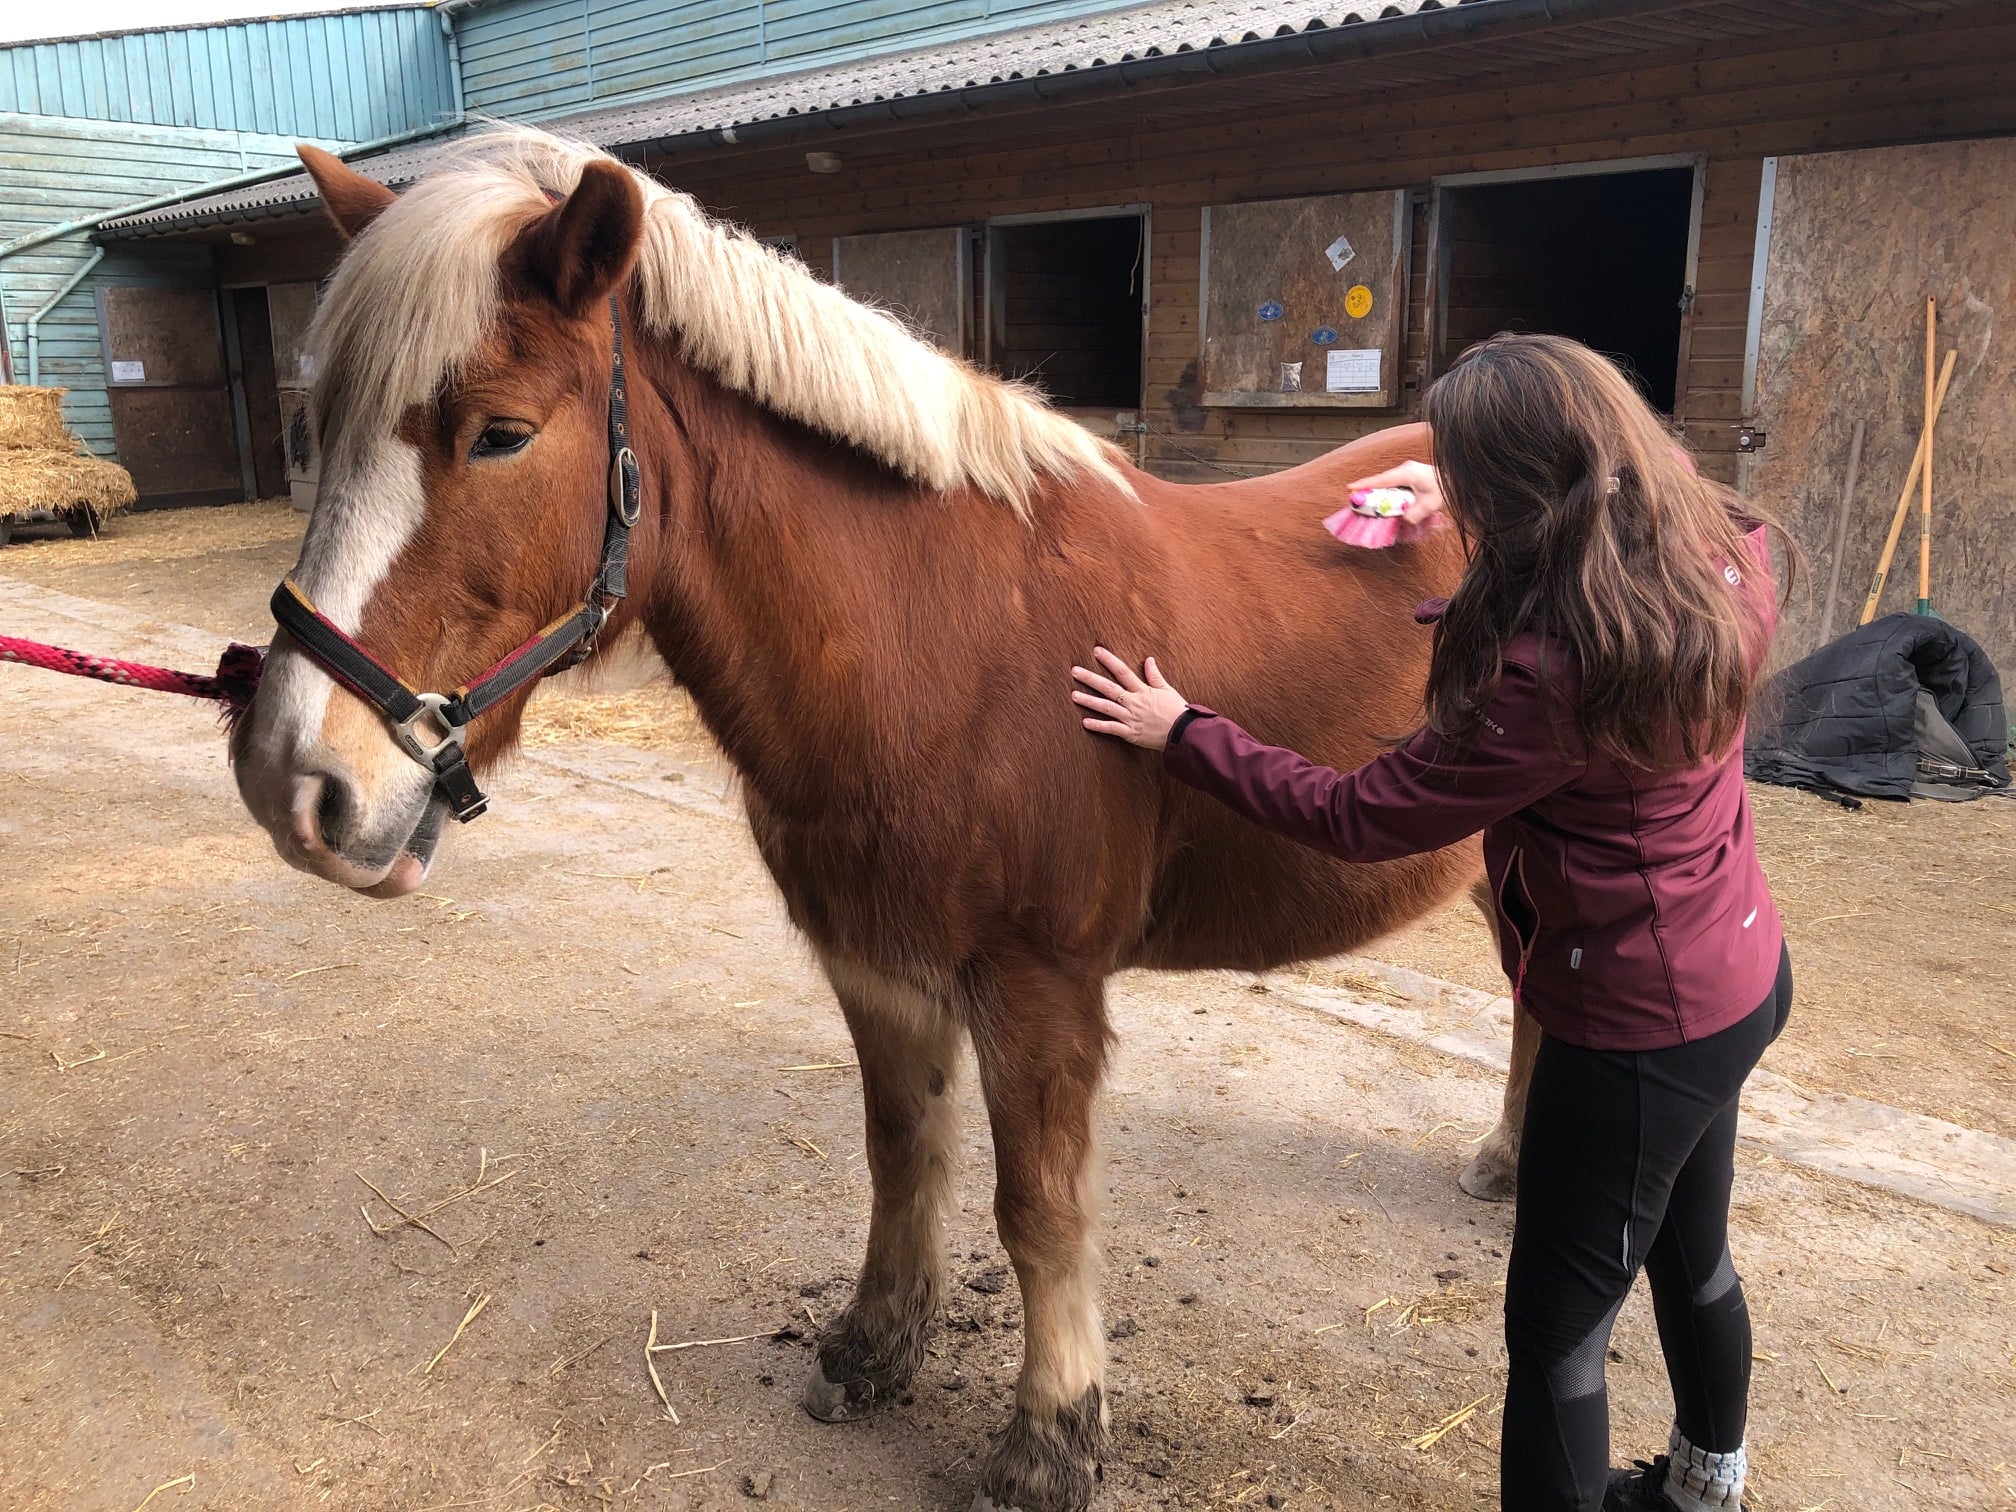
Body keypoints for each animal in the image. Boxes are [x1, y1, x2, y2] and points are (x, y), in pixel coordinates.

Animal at [231, 130, 1524, 1512]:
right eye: (319, 425)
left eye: (502, 435)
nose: (295, 777)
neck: (941, 640)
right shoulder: (876, 963)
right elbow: (901, 1152)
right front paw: (873, 1347)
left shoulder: (1038, 987)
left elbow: (1039, 1211)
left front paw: (1051, 1439)